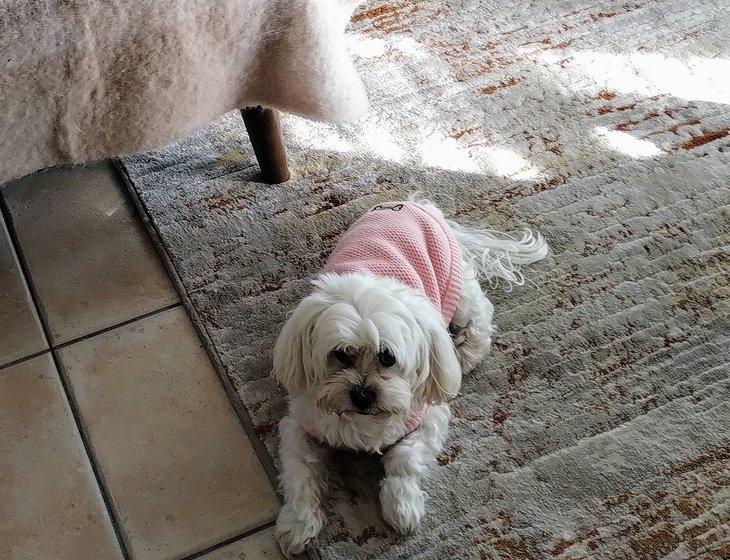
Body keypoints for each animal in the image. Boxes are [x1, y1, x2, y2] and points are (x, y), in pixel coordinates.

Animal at [272, 200, 544, 556]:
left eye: (388, 357)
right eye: (341, 354)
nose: (362, 394)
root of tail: (416, 204)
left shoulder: (427, 417)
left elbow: (405, 459)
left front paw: (402, 507)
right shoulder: (300, 425)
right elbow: (299, 473)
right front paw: (298, 523)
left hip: (457, 288)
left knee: (479, 315)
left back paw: (466, 353)